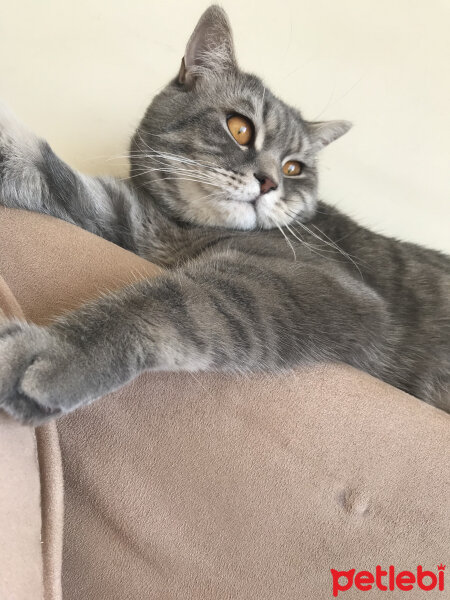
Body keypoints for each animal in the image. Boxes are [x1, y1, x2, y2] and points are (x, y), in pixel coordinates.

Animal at [0, 7, 450, 424]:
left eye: (294, 168)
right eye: (239, 128)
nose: (269, 182)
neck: (179, 228)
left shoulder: (312, 282)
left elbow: (180, 304)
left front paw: (56, 351)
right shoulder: (127, 212)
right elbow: (50, 172)